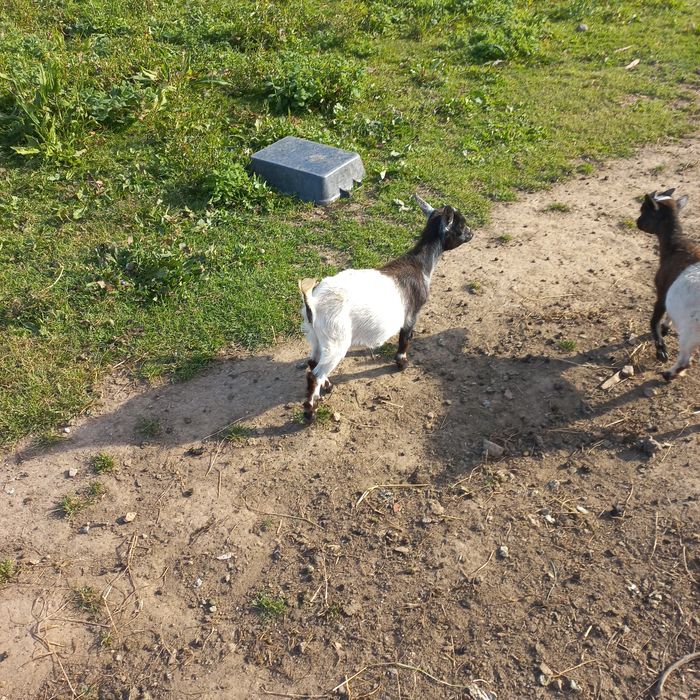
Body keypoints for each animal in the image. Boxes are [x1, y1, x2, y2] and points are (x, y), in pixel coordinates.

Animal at [299, 194, 473, 420]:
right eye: (460, 225)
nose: (472, 233)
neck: (419, 265)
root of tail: (313, 302)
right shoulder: (412, 314)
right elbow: (405, 339)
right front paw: (402, 363)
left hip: (315, 336)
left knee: (313, 363)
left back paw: (327, 386)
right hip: (336, 339)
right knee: (314, 374)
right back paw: (310, 412)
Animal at [636, 188, 699, 381]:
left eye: (643, 209)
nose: (637, 223)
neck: (675, 246)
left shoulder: (662, 289)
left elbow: (654, 319)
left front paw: (661, 349)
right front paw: (665, 328)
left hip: (690, 331)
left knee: (685, 360)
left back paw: (668, 374)